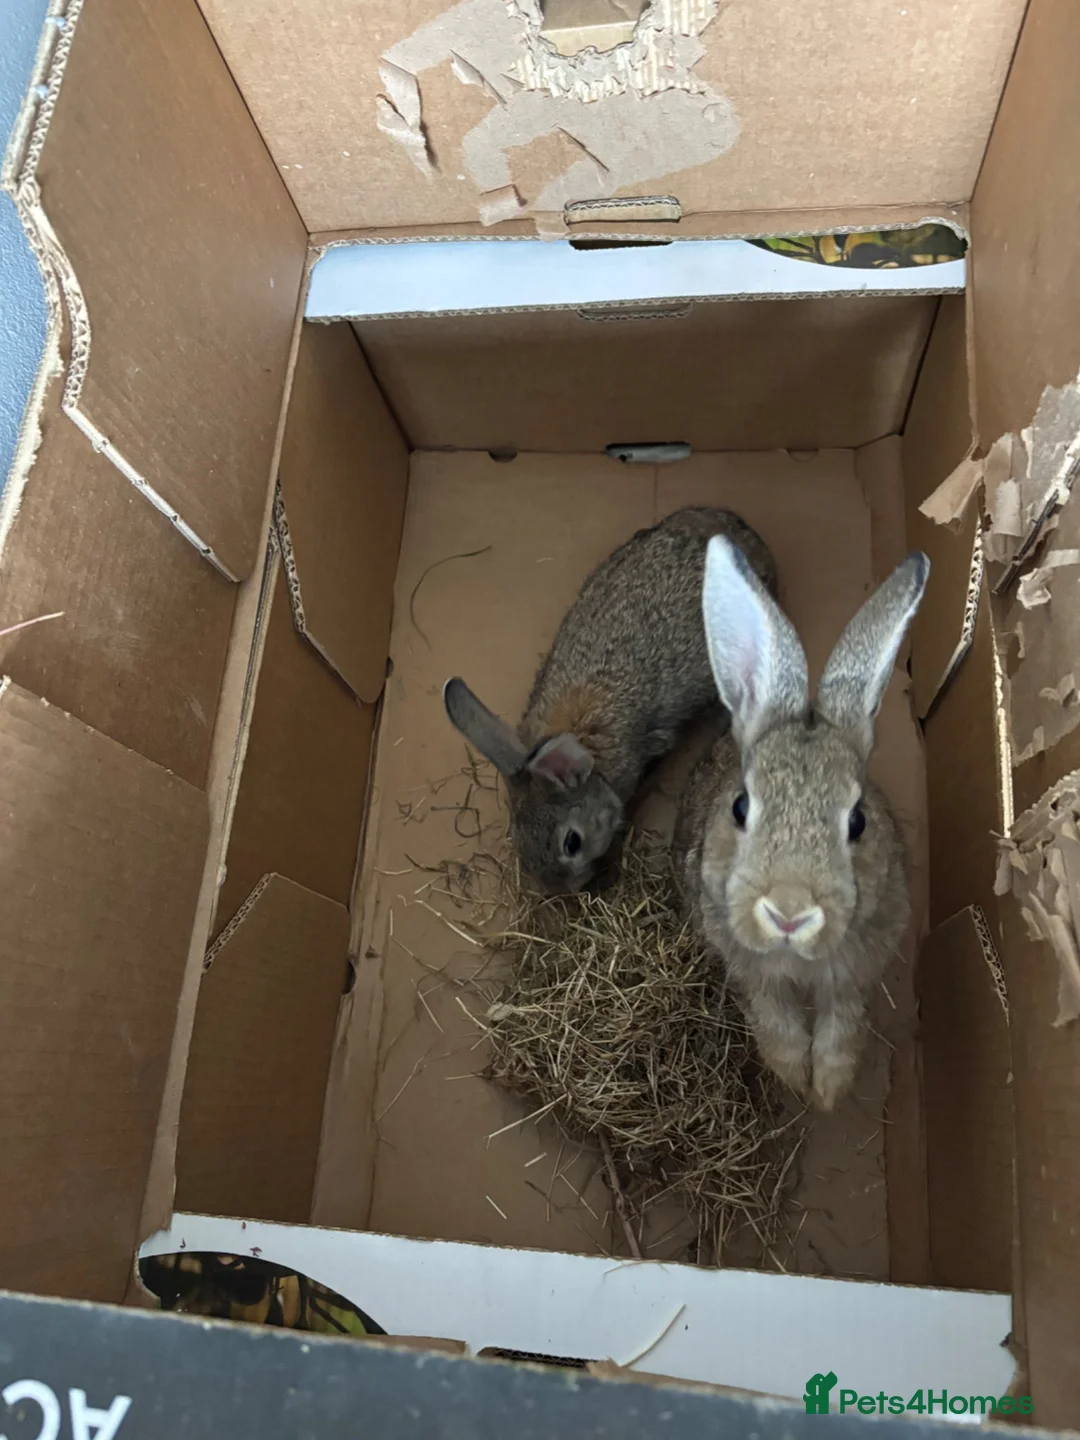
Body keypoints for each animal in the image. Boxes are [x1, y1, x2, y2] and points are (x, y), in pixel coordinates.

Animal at [673, 535, 929, 1112]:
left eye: (858, 821)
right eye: (740, 806)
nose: (789, 913)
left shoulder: (855, 973)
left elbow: (843, 1027)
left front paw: (828, 1091)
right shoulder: (749, 972)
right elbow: (775, 1021)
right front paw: (793, 1077)